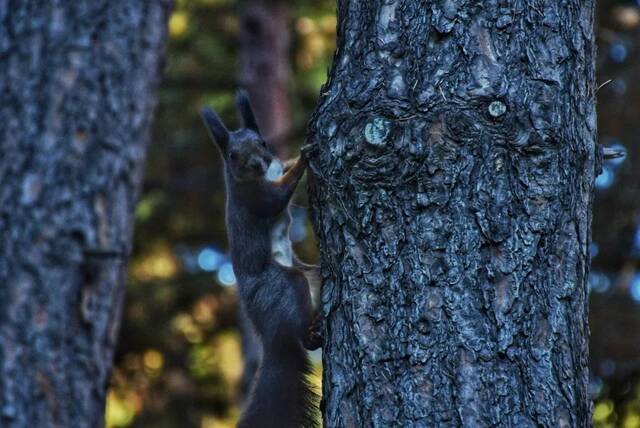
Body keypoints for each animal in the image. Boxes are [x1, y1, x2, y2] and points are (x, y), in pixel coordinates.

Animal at [202, 91, 322, 428]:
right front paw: (304, 158)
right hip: (282, 287)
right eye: (232, 155)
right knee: (298, 328)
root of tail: (270, 338)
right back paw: (310, 334)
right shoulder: (252, 199)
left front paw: (296, 157)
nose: (256, 165)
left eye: (263, 143)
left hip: (313, 278)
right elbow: (275, 200)